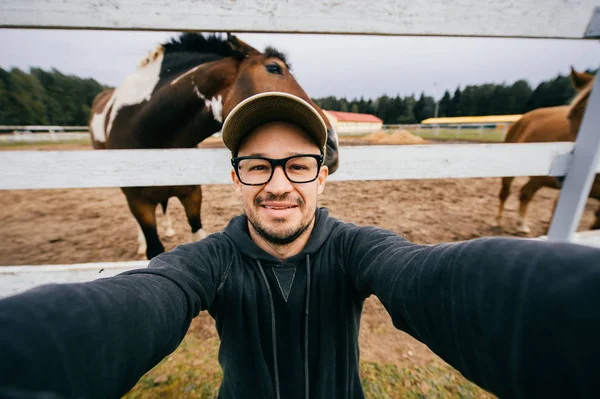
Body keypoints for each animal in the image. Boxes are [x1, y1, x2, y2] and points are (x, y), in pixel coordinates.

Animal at [496, 67, 596, 233]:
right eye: (571, 115)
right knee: (507, 192)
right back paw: (500, 221)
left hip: (538, 178)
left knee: (525, 193)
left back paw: (522, 225)